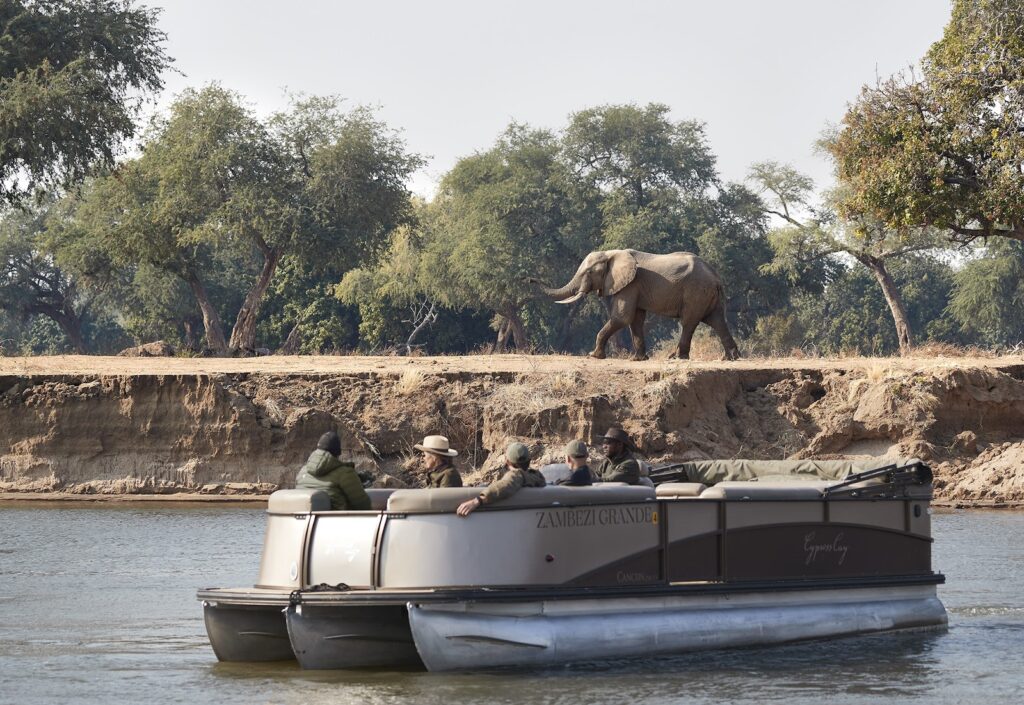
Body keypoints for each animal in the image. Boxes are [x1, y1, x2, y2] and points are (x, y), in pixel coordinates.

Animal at [532, 249, 741, 360]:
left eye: (588, 273)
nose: (531, 279)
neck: (610, 254)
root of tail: (715, 276)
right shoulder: (635, 286)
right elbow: (635, 320)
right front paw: (638, 359)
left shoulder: (631, 284)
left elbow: (622, 317)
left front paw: (593, 355)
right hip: (707, 295)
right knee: (717, 321)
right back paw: (730, 358)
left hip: (696, 292)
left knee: (689, 322)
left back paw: (676, 358)